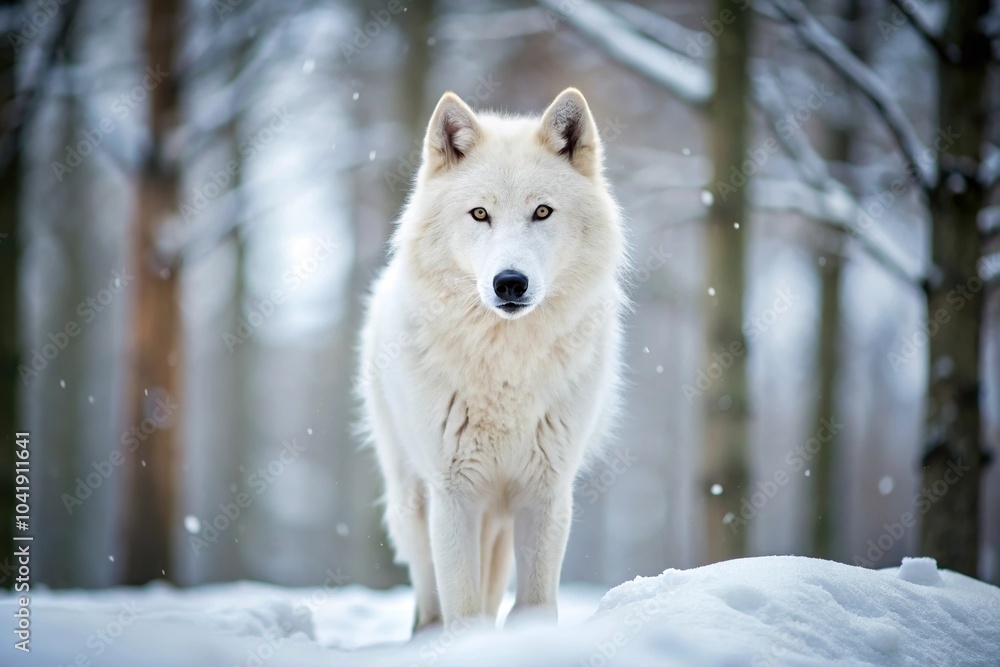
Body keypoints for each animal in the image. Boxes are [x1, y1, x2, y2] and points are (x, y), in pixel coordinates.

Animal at [358, 88, 627, 631]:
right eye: (479, 214)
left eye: (542, 212)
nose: (510, 283)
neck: (507, 369)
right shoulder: (453, 495)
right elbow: (463, 609)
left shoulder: (545, 495)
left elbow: (535, 606)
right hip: (412, 502)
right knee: (430, 598)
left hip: (498, 518)